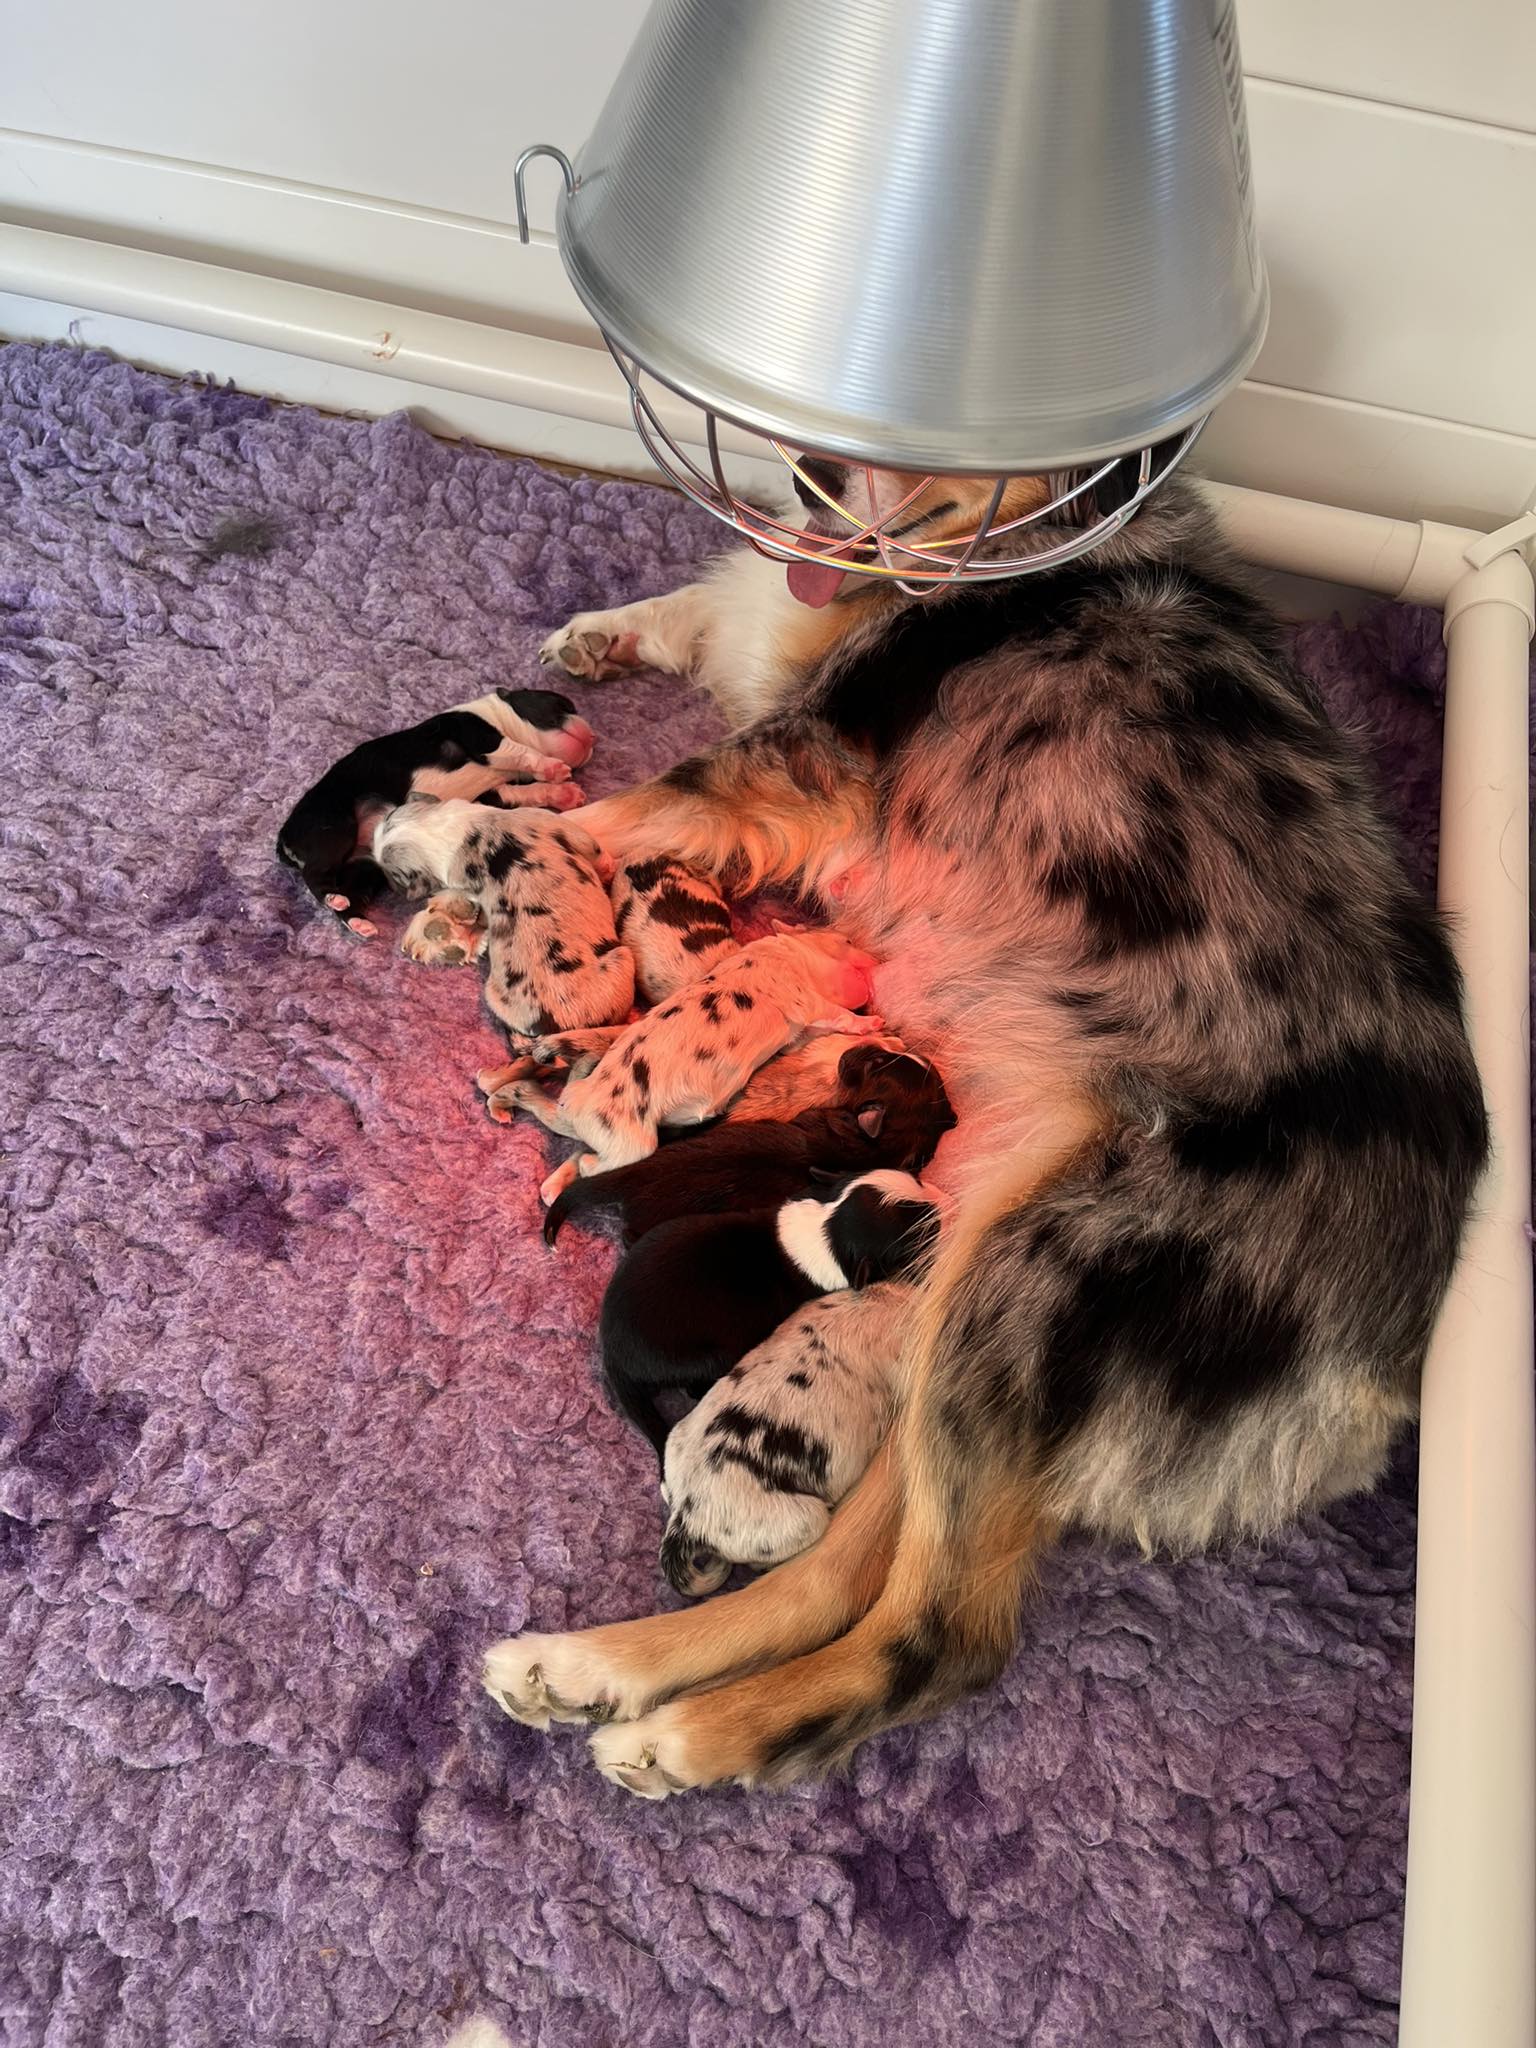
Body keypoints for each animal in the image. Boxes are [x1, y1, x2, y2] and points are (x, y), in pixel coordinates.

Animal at [277, 688, 592, 934]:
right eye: (562, 704)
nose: (592, 739)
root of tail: (282, 839)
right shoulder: (476, 733)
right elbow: (518, 751)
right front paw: (550, 767)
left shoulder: (492, 792)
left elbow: (523, 792)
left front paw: (563, 793)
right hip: (333, 827)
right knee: (315, 874)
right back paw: (332, 899)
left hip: (363, 867)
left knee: (349, 891)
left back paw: (356, 920)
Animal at [372, 797, 634, 1041]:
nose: (392, 889)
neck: (436, 830)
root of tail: (554, 1027)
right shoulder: (565, 828)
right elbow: (598, 854)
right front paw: (611, 868)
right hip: (623, 958)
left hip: (493, 996)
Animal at [599, 1171, 939, 1460]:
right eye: (914, 1233)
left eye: (915, 1179)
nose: (939, 1206)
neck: (825, 1230)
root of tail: (611, 1355)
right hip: (705, 1357)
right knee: (692, 1387)